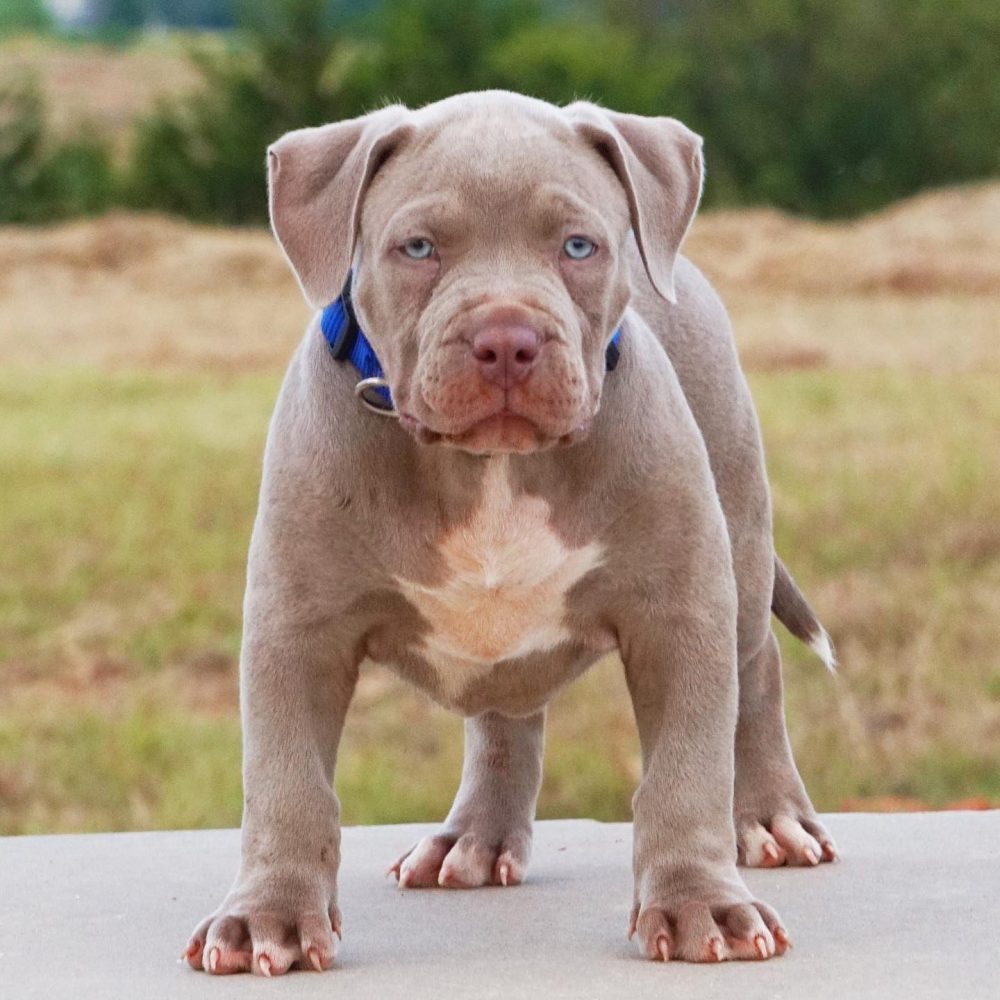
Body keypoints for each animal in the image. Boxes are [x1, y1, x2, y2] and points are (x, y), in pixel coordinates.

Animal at [186, 90, 836, 972]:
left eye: (578, 246)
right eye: (418, 248)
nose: (506, 340)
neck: (489, 465)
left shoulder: (680, 616)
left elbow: (684, 771)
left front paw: (699, 903)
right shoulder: (296, 629)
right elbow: (288, 784)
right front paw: (269, 918)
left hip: (736, 537)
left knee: (756, 668)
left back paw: (769, 815)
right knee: (504, 715)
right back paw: (475, 838)